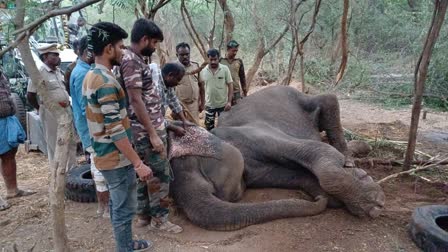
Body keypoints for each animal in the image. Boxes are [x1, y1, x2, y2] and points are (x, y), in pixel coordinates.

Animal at [168, 86, 384, 230]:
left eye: (194, 164)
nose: (317, 200)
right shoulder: (256, 170)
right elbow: (298, 177)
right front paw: (329, 196)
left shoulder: (254, 134)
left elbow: (315, 151)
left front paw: (373, 202)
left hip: (303, 100)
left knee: (328, 101)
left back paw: (349, 160)